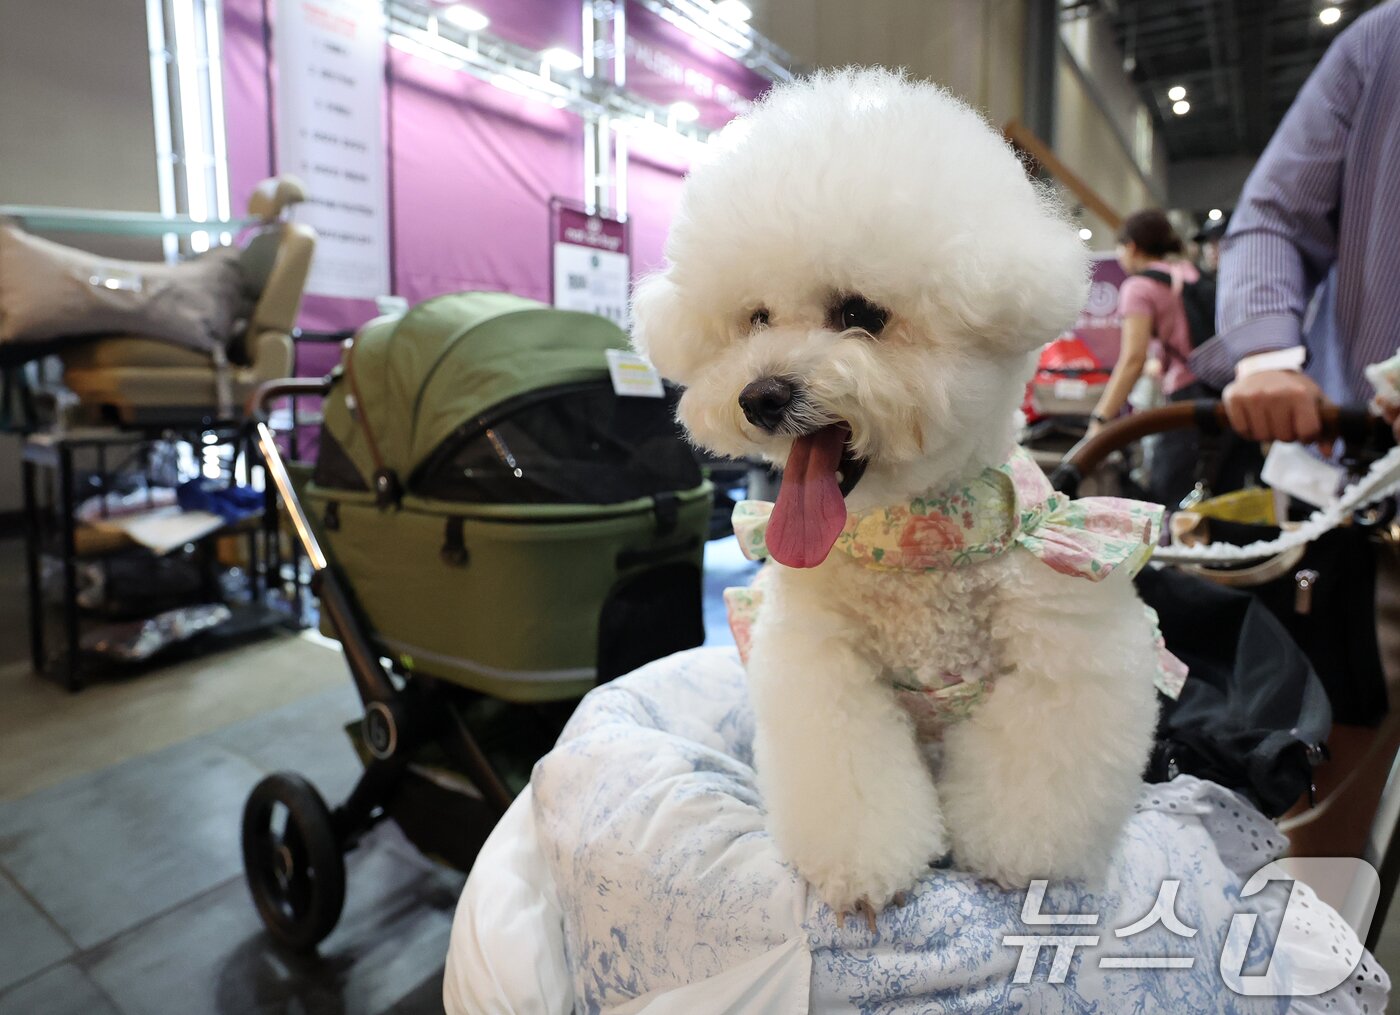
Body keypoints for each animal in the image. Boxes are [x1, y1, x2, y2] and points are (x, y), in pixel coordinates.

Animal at [630, 69, 1164, 924]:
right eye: (755, 318)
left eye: (860, 314)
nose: (760, 395)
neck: (917, 539)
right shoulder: (823, 666)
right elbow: (851, 778)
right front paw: (866, 870)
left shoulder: (1065, 651)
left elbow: (1037, 777)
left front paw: (1014, 861)